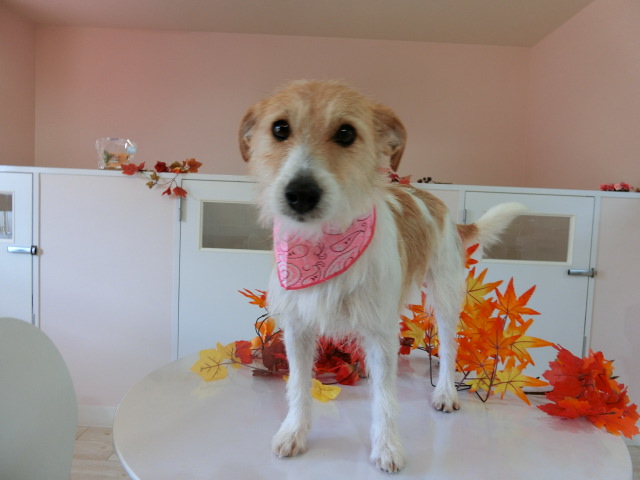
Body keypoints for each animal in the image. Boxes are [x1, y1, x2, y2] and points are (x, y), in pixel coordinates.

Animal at [238, 80, 525, 473]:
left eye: (346, 133)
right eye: (279, 129)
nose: (301, 193)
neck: (324, 242)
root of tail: (437, 204)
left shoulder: (380, 331)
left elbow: (386, 398)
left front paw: (388, 447)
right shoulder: (298, 328)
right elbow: (297, 383)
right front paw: (294, 432)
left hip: (445, 296)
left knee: (449, 345)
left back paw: (445, 392)